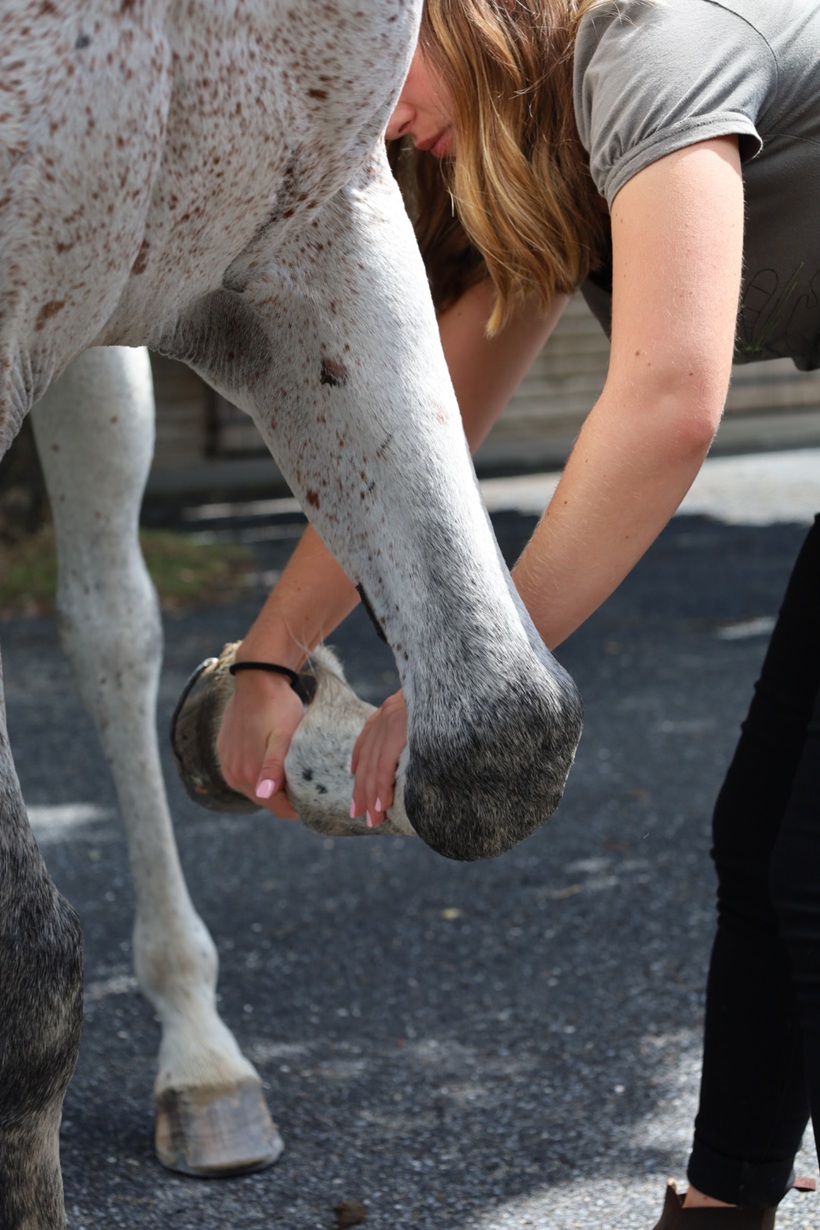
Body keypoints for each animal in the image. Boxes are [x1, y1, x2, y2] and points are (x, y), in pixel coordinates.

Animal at [0, 2, 583, 1225]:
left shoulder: (309, 234)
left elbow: (503, 739)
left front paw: (277, 732)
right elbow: (26, 974)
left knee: (110, 626)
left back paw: (202, 1057)